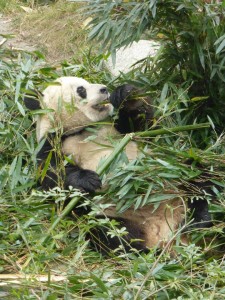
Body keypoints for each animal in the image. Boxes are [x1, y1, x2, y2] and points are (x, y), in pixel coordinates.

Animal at [24, 77, 213, 253]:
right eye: (81, 89)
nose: (104, 89)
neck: (81, 130)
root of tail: (163, 230)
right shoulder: (52, 143)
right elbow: (52, 178)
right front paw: (87, 180)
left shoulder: (119, 130)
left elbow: (144, 125)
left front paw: (125, 93)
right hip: (112, 217)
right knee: (107, 233)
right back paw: (143, 251)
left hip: (174, 175)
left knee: (197, 176)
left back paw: (199, 220)